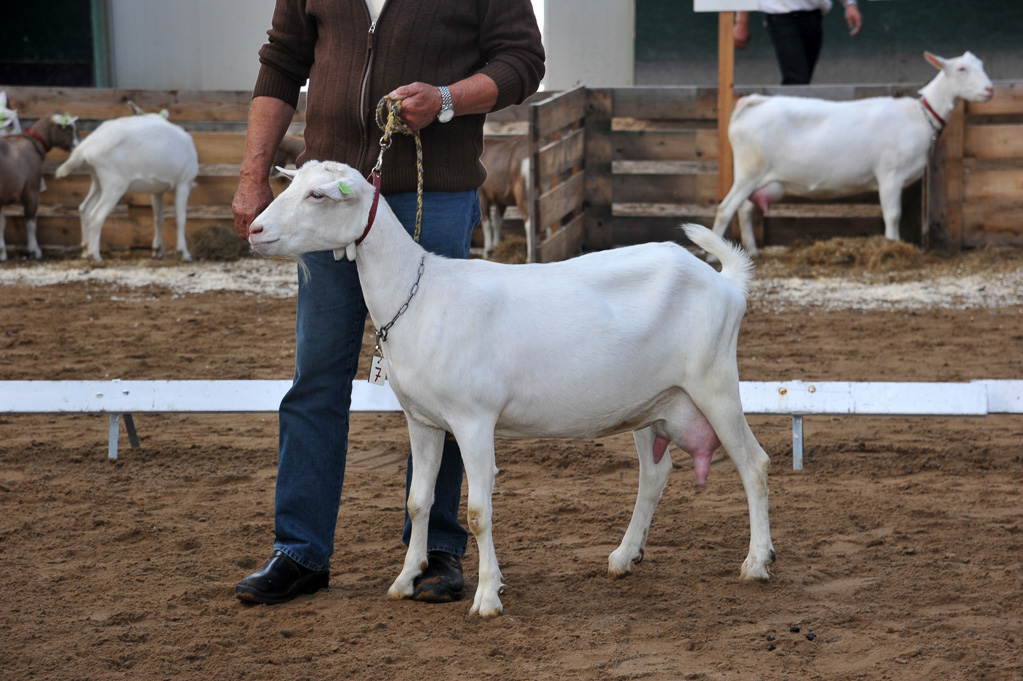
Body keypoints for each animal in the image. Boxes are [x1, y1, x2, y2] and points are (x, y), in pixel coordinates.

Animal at [0, 111, 79, 259]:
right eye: (69, 128)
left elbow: (2, 222)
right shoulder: (32, 188)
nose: (80, 145)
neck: (34, 142)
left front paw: (2, 253)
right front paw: (34, 250)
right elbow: (30, 220)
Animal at [54, 111, 199, 259]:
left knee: (84, 208)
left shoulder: (157, 189)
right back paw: (95, 255)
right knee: (96, 215)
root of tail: (85, 148)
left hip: (97, 181)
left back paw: (85, 251)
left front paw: (157, 250)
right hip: (115, 184)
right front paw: (184, 253)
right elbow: (181, 218)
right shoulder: (183, 183)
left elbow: (159, 218)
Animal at [249, 161, 773, 617]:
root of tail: (726, 282)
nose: (254, 229)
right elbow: (418, 501)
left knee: (754, 464)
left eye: (317, 196)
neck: (419, 296)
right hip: (651, 403)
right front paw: (405, 580)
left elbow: (479, 511)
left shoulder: (474, 420)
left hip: (715, 383)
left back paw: (757, 562)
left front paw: (487, 598)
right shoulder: (422, 419)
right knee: (655, 475)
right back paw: (626, 556)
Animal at [712, 49, 990, 253]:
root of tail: (752, 103)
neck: (919, 115)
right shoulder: (889, 174)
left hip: (756, 177)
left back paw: (752, 251)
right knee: (725, 209)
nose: (989, 90)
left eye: (981, 65)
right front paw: (891, 246)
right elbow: (893, 215)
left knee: (744, 210)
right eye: (962, 69)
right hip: (749, 171)